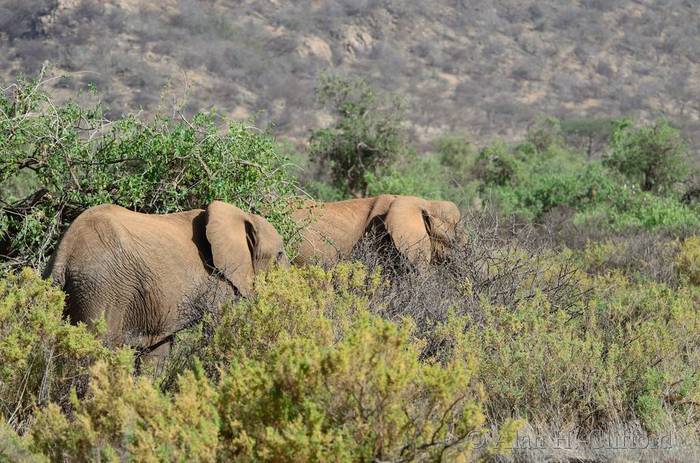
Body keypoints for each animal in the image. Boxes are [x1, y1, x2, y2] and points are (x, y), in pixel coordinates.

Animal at [44, 201, 287, 351]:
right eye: (280, 254)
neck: (244, 216)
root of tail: (65, 249)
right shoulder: (218, 282)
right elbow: (218, 329)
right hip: (101, 289)